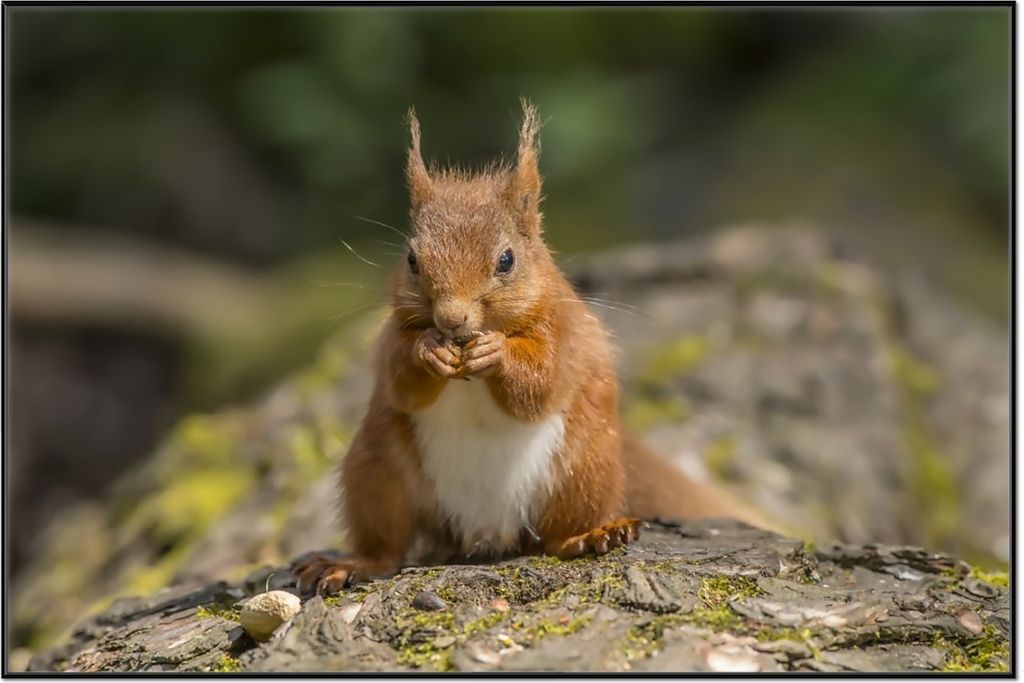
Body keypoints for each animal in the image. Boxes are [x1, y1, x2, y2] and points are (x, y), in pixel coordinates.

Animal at [295, 101, 763, 596]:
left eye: (507, 260)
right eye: (411, 260)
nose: (451, 319)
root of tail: (483, 534)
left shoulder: (563, 334)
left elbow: (541, 383)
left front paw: (496, 353)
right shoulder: (389, 339)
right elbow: (401, 380)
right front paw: (429, 350)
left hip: (585, 469)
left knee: (557, 537)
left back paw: (593, 535)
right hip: (376, 471)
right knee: (387, 545)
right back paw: (352, 563)